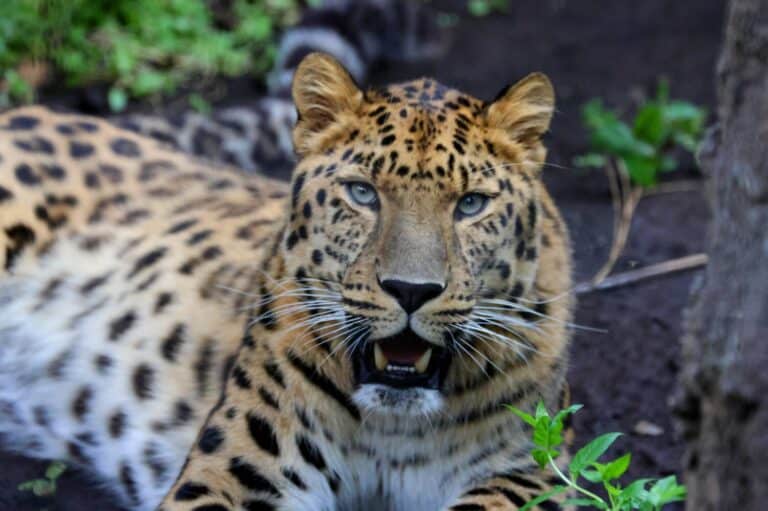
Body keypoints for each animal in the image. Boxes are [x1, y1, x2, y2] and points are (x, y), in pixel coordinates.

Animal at [0, 52, 573, 511]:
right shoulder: (239, 474)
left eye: (471, 204)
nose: (411, 290)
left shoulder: (535, 467)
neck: (395, 429)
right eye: (362, 193)